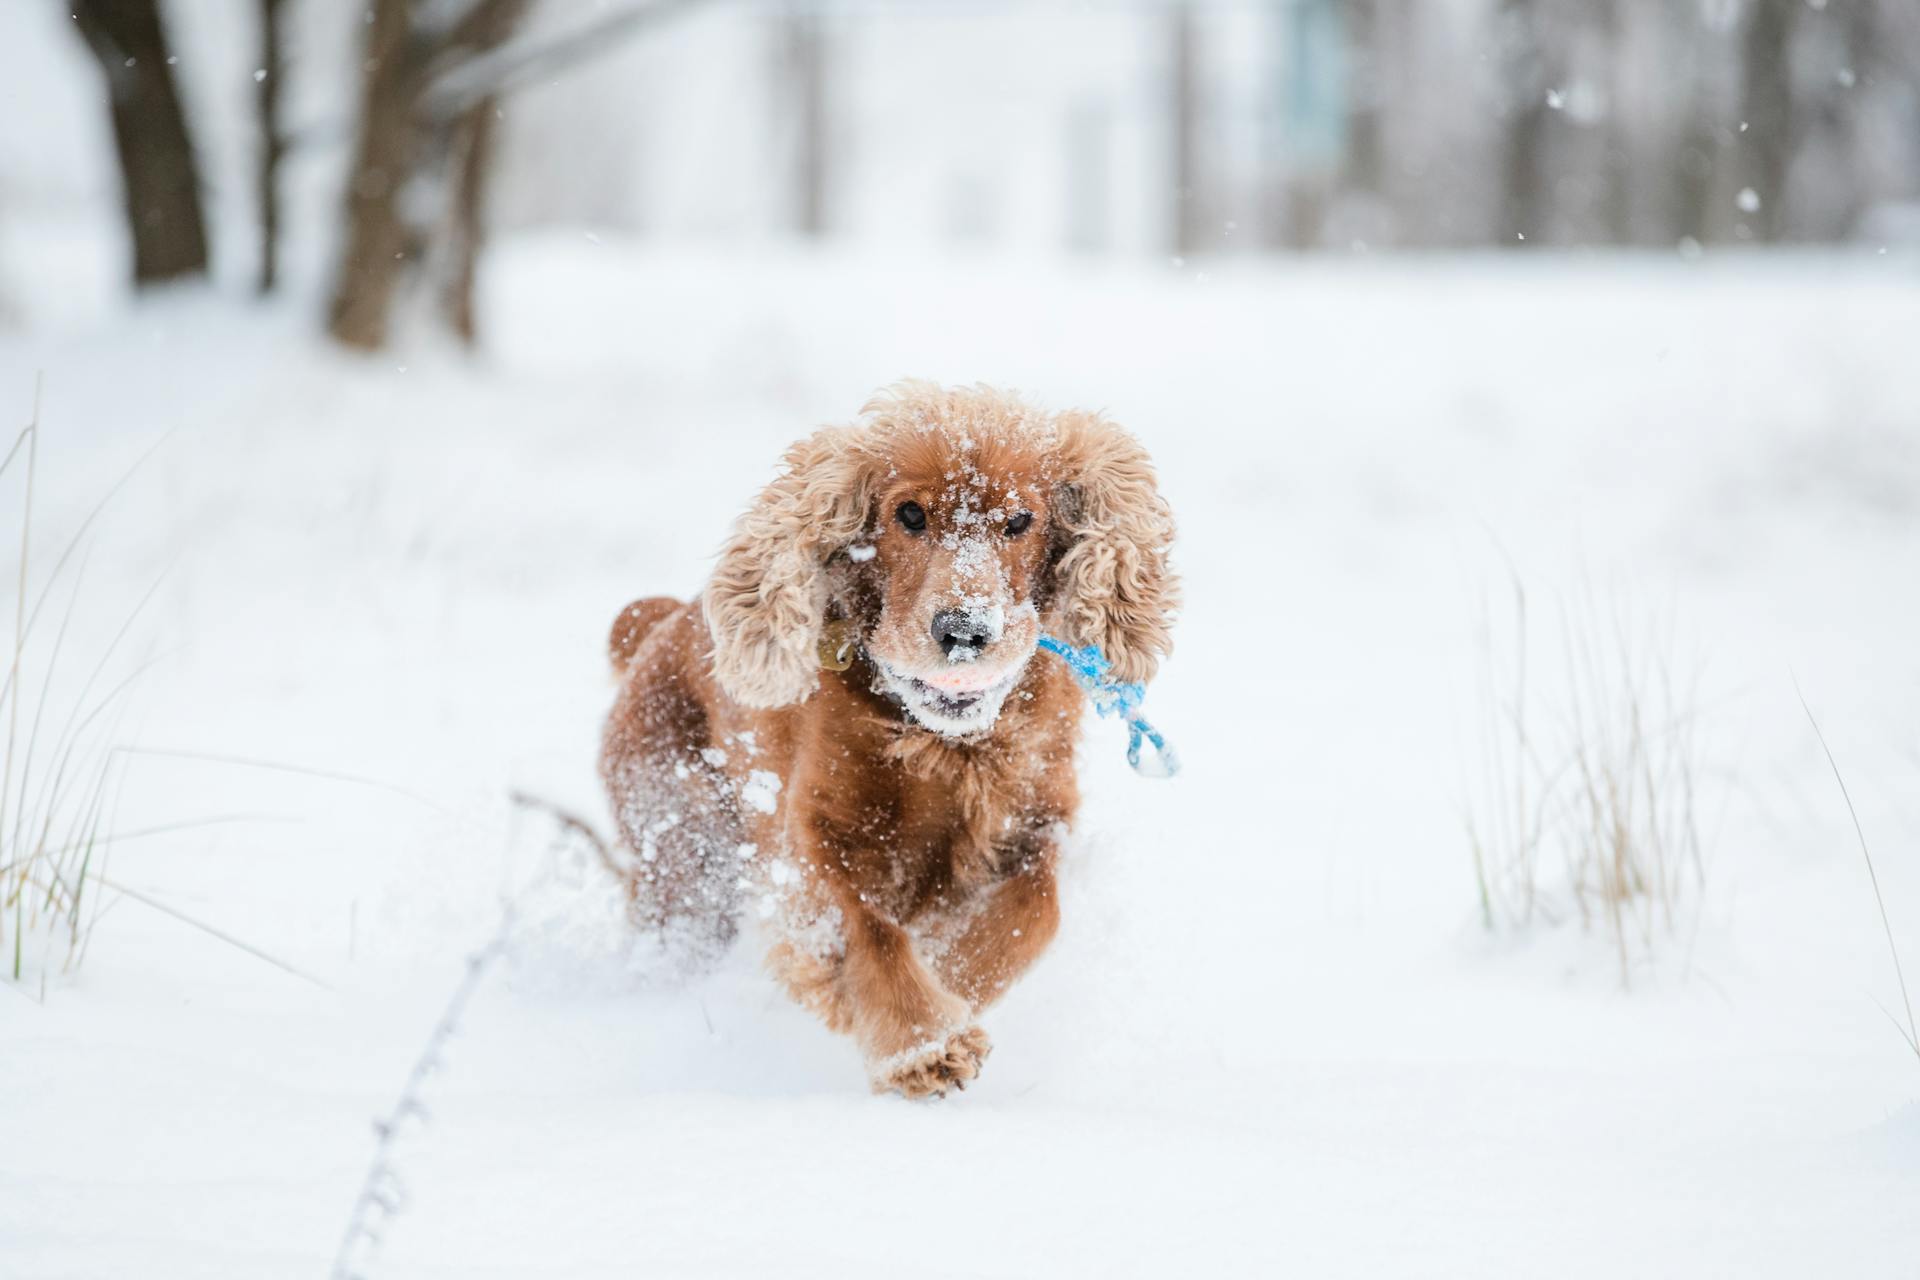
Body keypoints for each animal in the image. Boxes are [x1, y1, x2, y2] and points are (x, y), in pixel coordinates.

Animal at [599, 378, 1175, 1090]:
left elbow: (1035, 910)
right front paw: (925, 1044)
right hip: (681, 852)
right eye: (909, 515)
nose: (964, 632)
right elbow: (866, 931)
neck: (946, 742)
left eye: (1020, 521)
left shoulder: (1037, 819)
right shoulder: (815, 836)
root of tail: (655, 628)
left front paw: (952, 977)